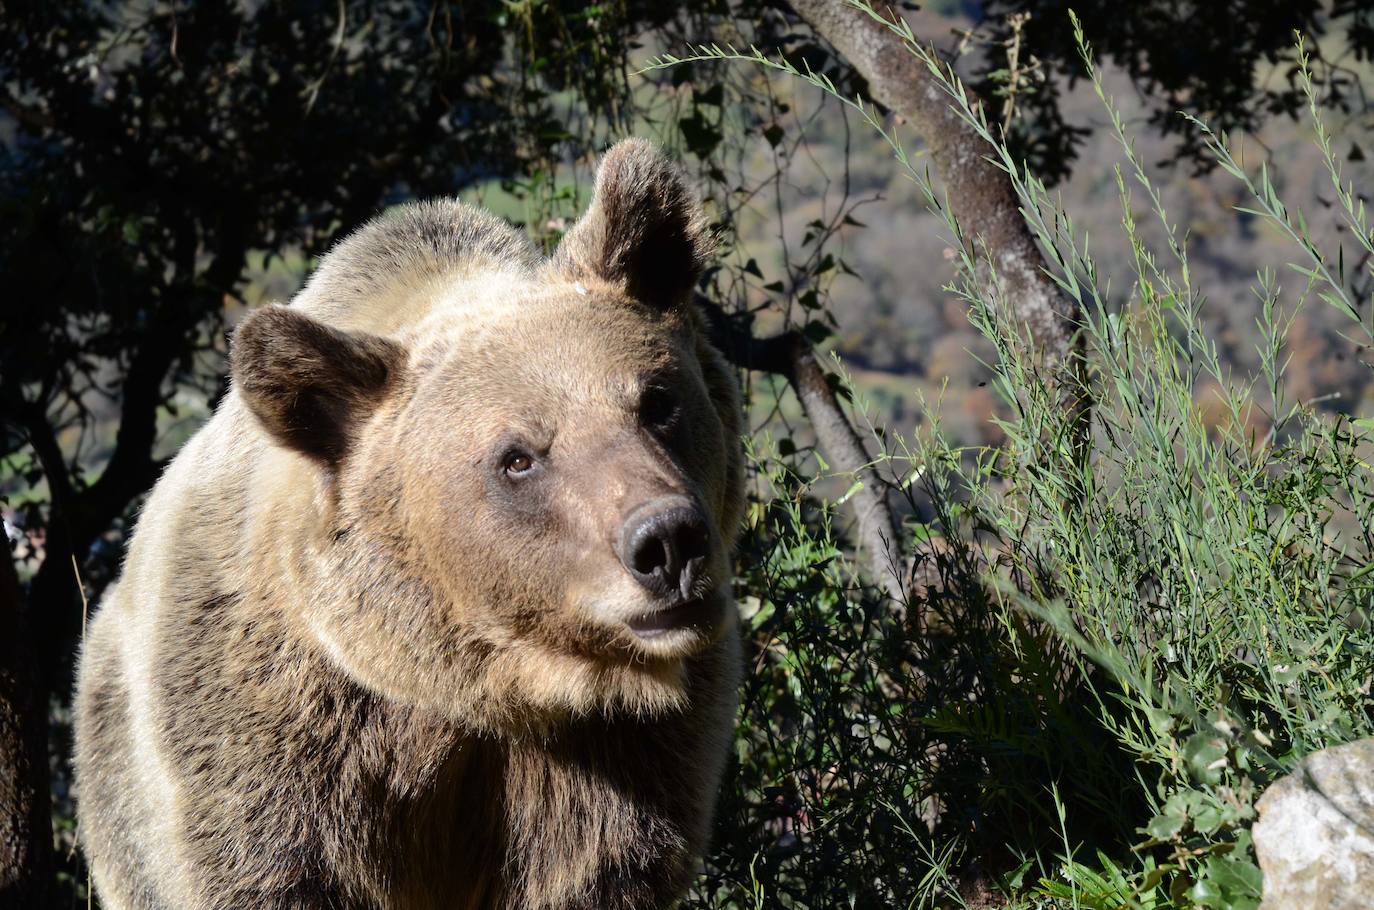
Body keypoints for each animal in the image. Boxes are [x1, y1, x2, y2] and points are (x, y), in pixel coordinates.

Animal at [72, 138, 746, 910]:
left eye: (657, 401)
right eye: (518, 457)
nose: (668, 542)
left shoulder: (621, 758)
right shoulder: (280, 736)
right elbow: (268, 862)